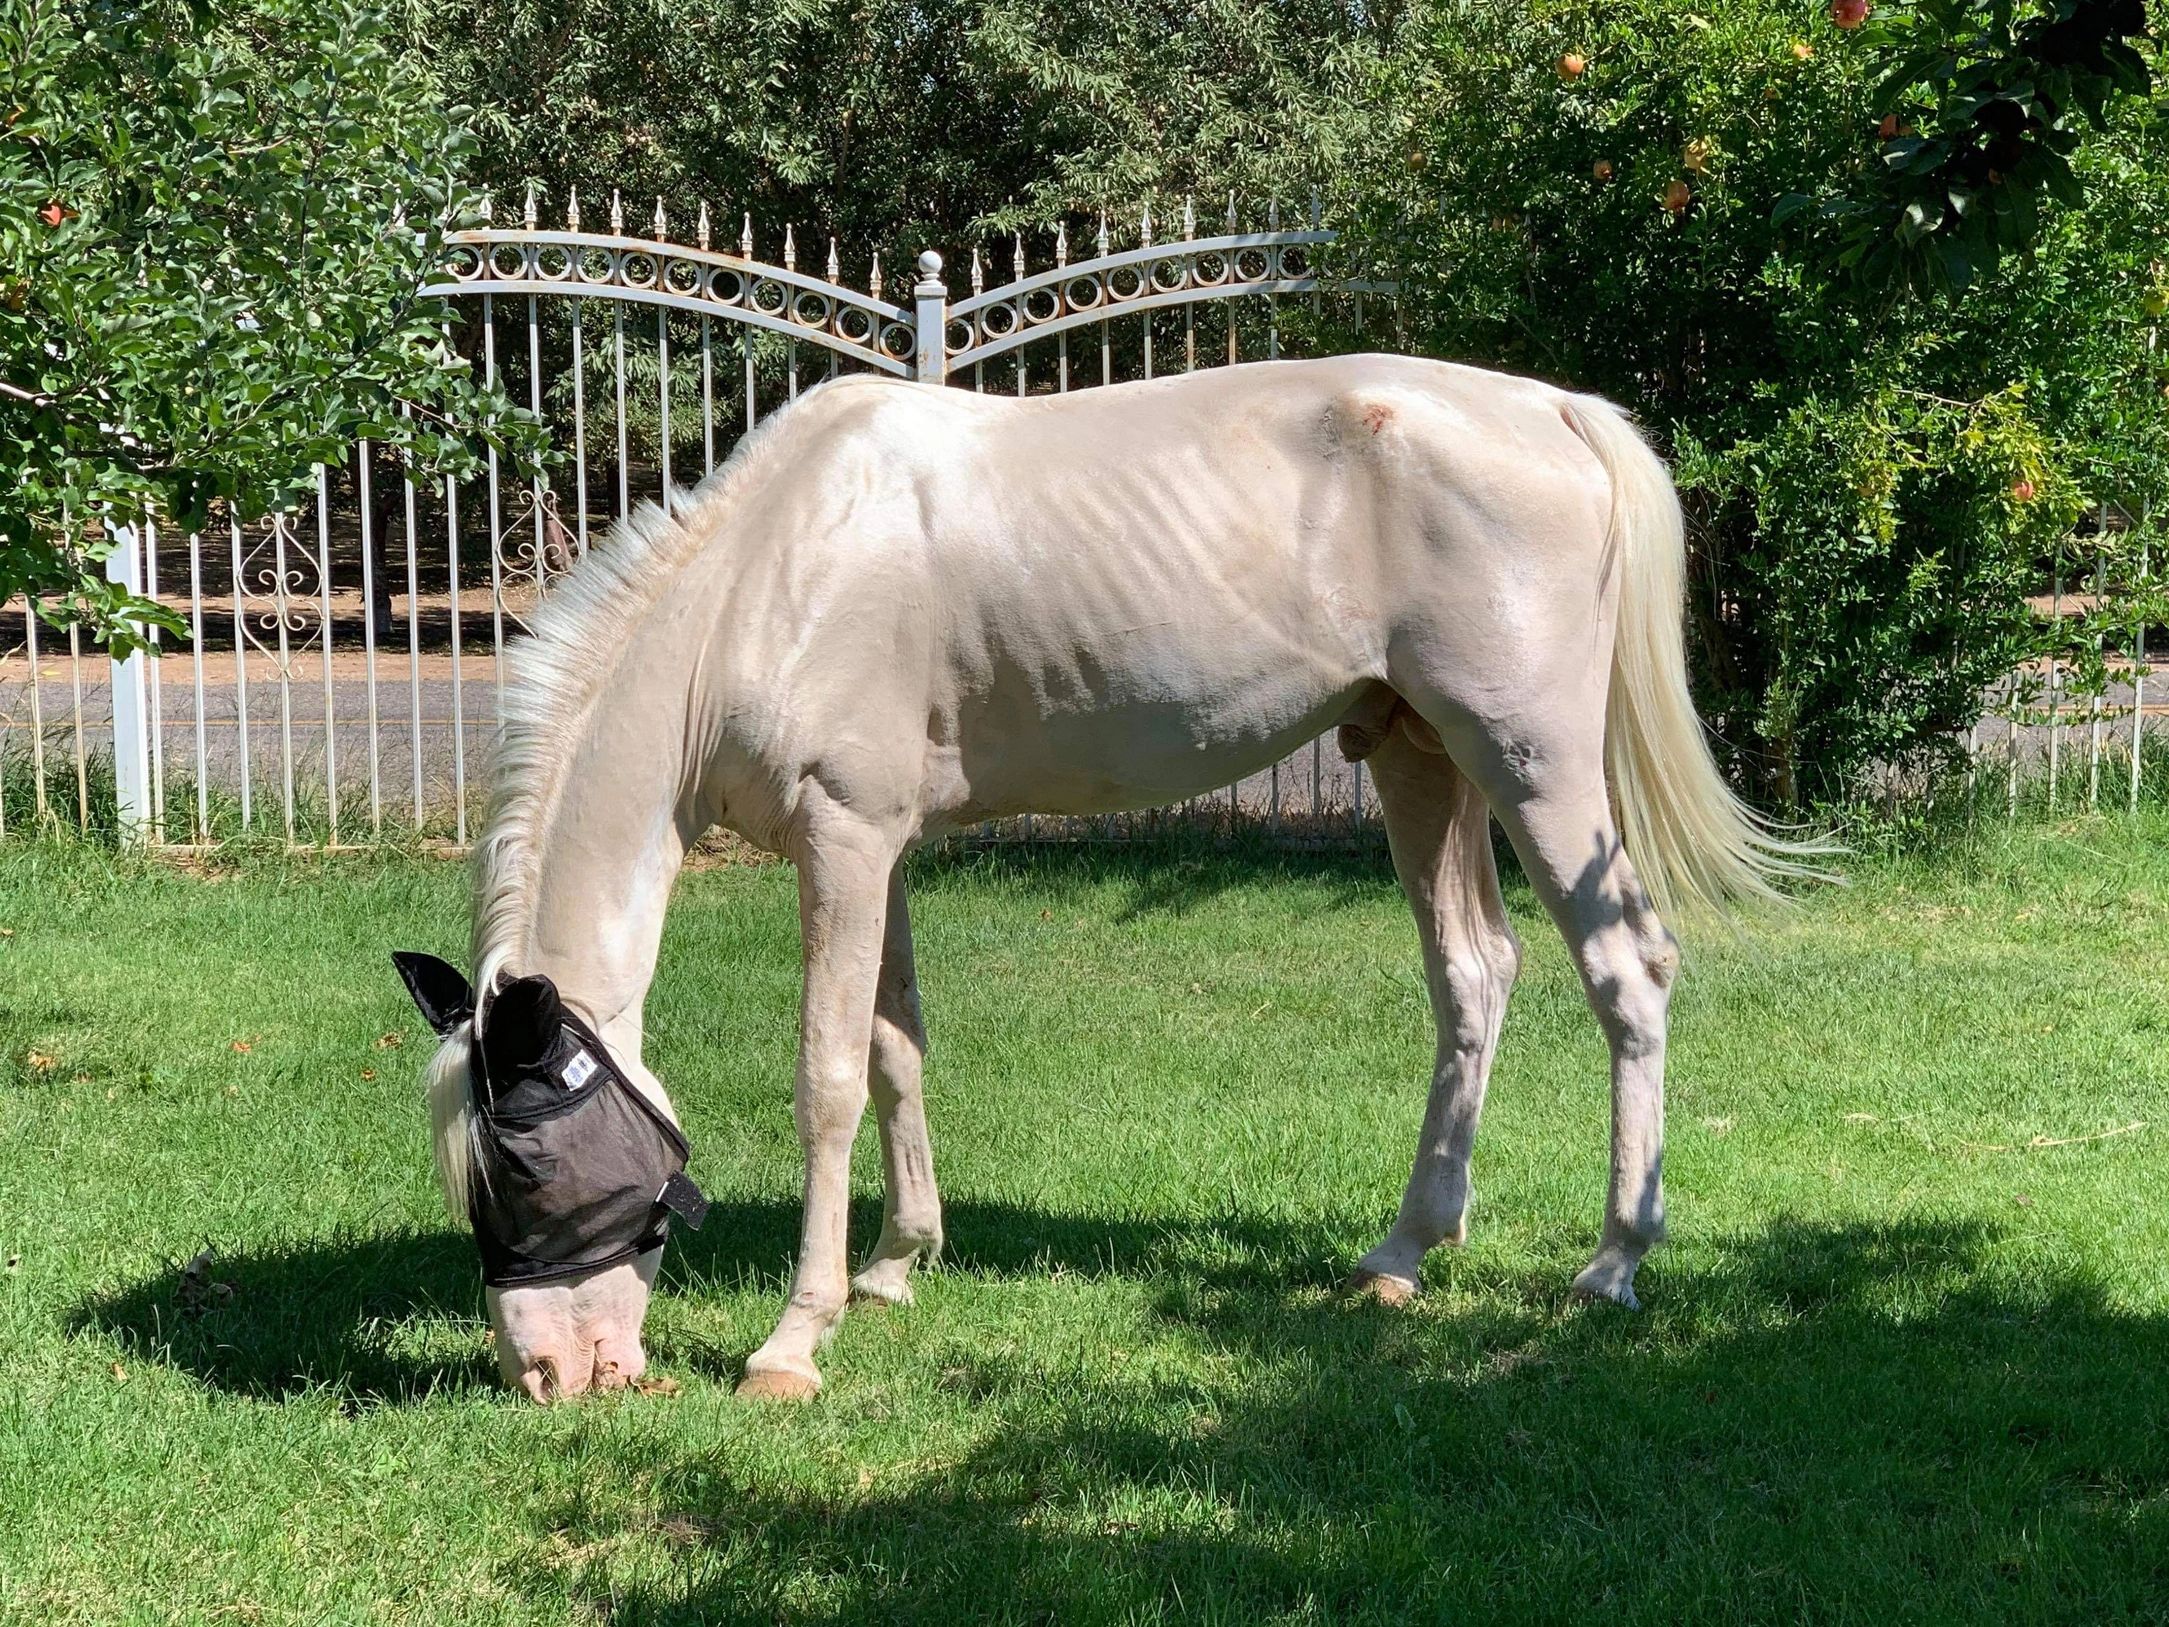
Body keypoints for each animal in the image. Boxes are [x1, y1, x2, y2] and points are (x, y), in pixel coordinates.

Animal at [407, 353, 1820, 1404]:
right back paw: (1405, 1251)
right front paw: (898, 1265)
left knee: (1626, 967)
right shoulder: (885, 847)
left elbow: (827, 1079)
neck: (773, 578)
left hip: (1531, 759)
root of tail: (1555, 410)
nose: (548, 1378)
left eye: (529, 1175)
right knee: (1475, 974)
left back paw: (1614, 1260)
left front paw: (795, 1340)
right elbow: (897, 1048)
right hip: (1419, 758)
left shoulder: (845, 842)